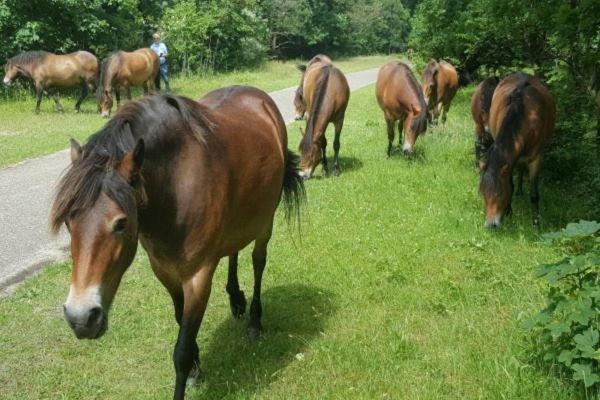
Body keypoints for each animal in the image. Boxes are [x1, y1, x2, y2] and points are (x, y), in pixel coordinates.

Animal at [49, 86, 304, 398]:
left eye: (121, 223)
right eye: (68, 222)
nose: (81, 318)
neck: (176, 186)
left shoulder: (197, 277)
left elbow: (181, 349)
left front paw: (189, 370)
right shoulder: (165, 272)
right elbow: (182, 324)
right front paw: (196, 369)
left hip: (265, 221)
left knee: (258, 262)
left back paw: (255, 321)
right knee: (233, 251)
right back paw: (236, 300)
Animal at [480, 72, 556, 228]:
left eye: (499, 194)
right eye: (484, 194)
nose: (491, 224)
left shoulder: (536, 158)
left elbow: (534, 194)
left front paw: (536, 223)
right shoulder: (510, 162)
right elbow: (511, 184)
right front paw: (509, 212)